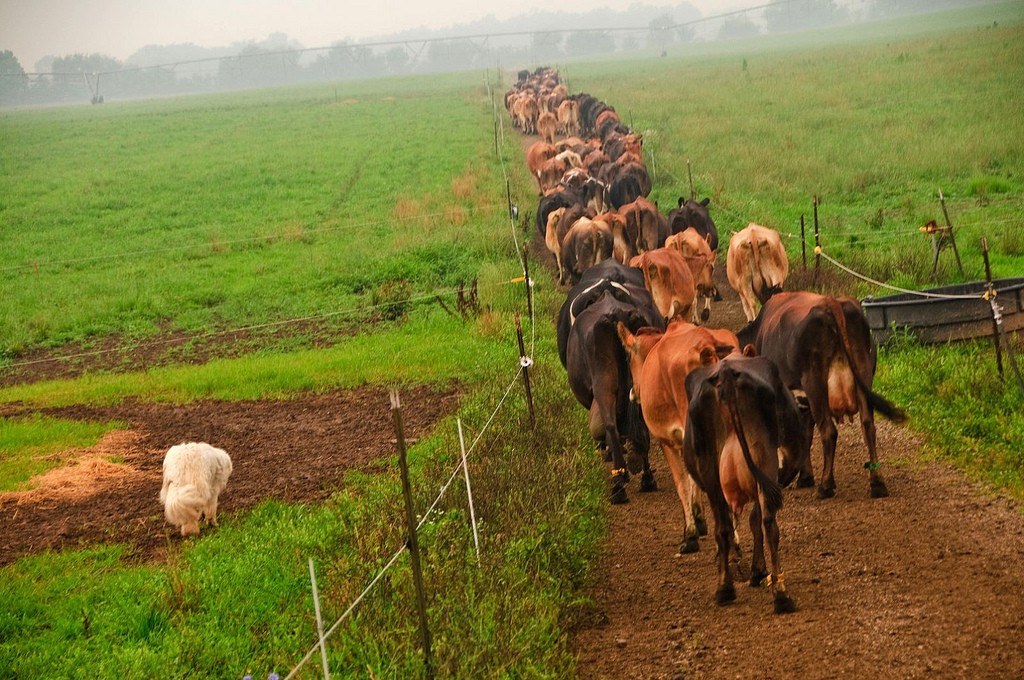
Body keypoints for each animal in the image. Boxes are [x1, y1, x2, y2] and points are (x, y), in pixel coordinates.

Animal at [614, 323, 737, 553]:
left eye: (628, 358)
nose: (634, 392)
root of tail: (706, 347)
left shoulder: (667, 440)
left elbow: (682, 481)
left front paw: (690, 534)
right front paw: (699, 519)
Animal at [737, 292, 913, 499]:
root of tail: (833, 303)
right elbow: (806, 433)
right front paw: (804, 476)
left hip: (815, 381)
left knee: (829, 431)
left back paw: (825, 486)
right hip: (863, 370)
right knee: (868, 426)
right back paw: (877, 483)